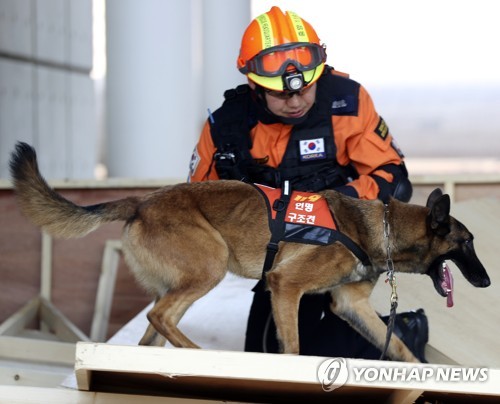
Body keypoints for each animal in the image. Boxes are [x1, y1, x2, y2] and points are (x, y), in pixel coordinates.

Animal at [9, 143, 490, 362]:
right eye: (467, 243)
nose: (487, 281)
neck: (379, 229)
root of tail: (141, 202)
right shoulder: (285, 286)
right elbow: (292, 348)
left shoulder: (350, 306)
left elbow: (401, 348)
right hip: (209, 265)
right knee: (159, 317)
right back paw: (200, 355)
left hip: (183, 281)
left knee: (152, 332)